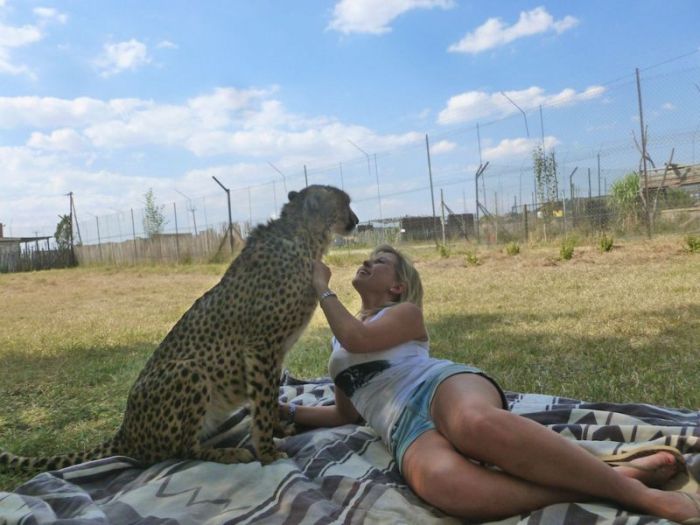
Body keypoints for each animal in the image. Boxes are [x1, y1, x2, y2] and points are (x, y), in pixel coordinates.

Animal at [0, 183, 358, 466]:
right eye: (345, 202)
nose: (356, 220)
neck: (304, 237)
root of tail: (125, 430)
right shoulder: (260, 347)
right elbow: (262, 402)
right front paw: (268, 451)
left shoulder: (273, 353)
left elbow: (268, 400)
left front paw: (278, 429)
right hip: (189, 370)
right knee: (182, 450)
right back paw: (230, 453)